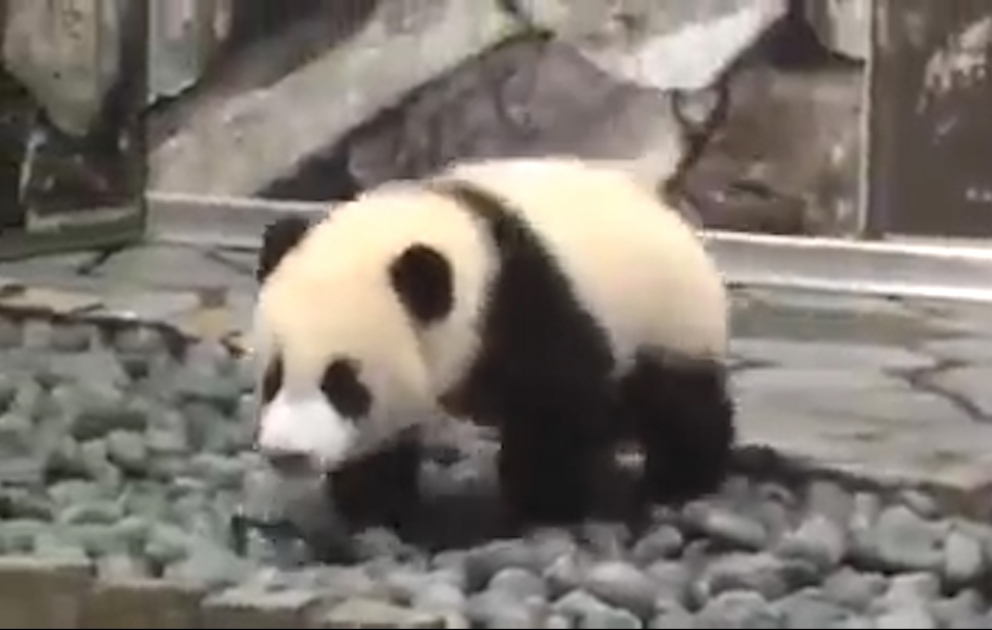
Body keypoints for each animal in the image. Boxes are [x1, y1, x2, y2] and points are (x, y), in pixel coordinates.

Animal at [250, 155, 736, 537]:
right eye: (273, 378)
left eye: (343, 384)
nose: (287, 454)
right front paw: (375, 507)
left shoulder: (530, 303)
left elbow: (554, 406)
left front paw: (541, 507)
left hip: (668, 320)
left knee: (680, 404)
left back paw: (676, 483)